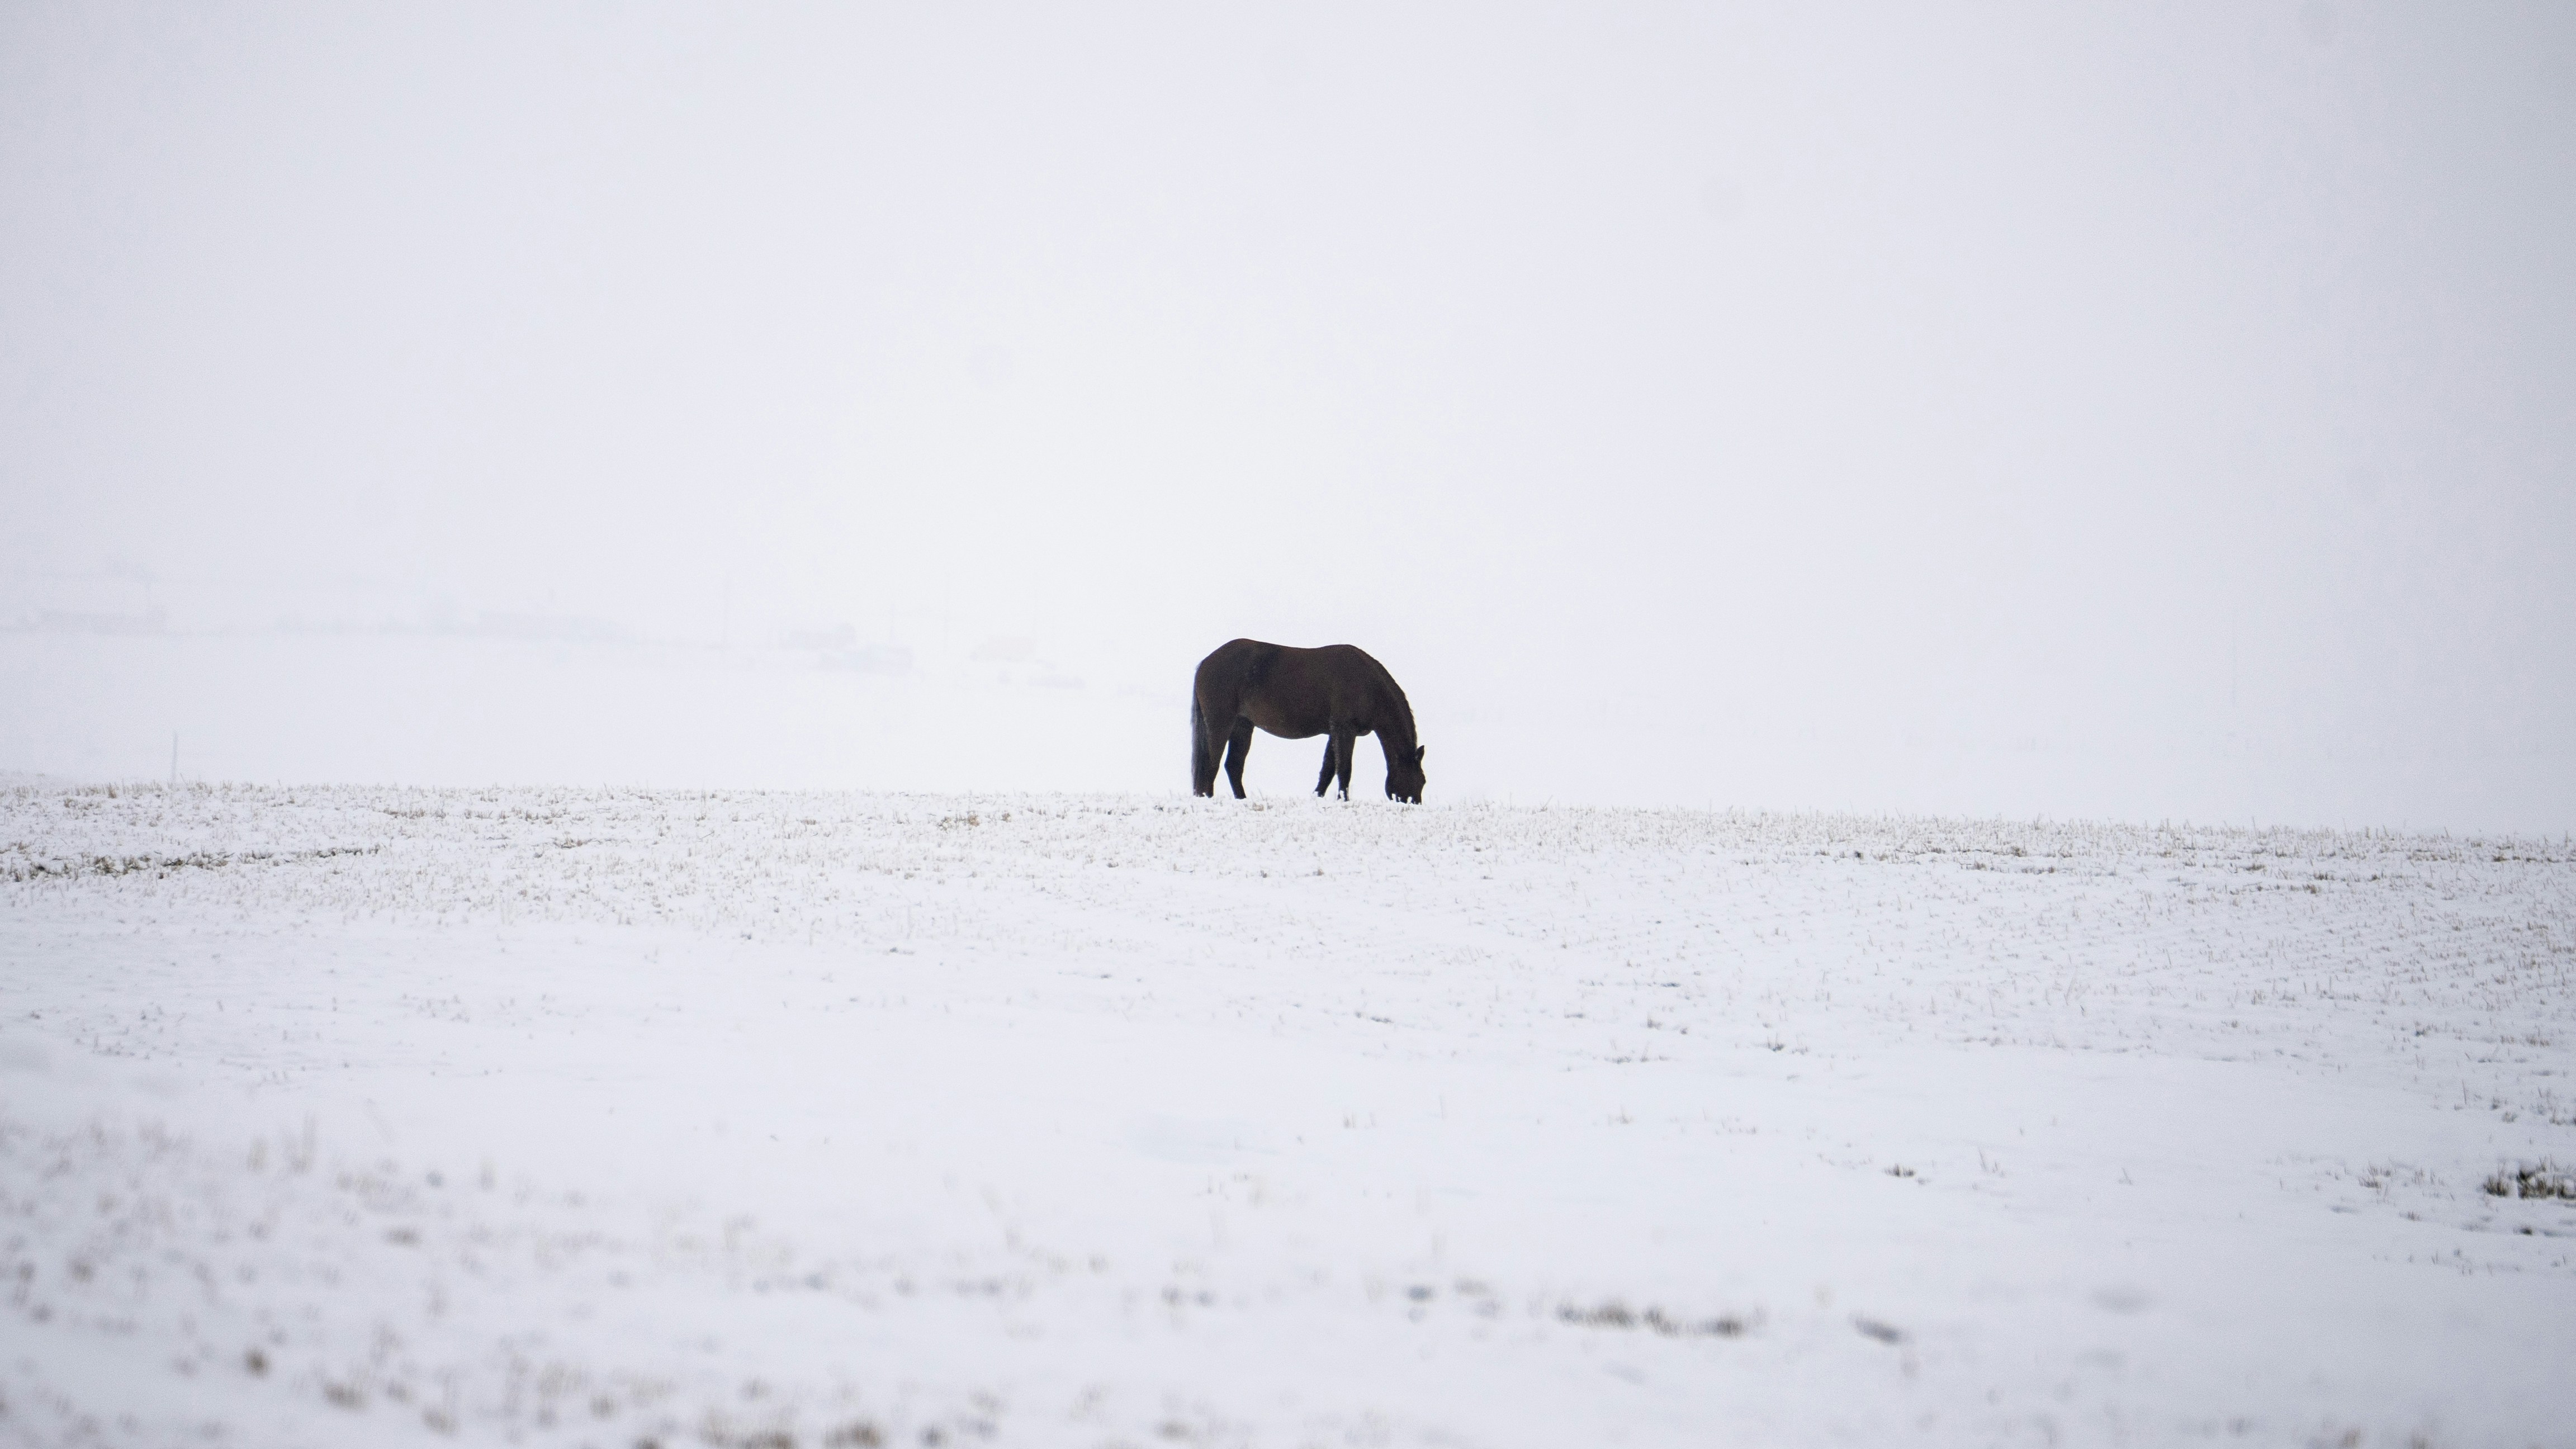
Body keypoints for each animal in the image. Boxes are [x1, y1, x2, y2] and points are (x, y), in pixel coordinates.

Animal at [1191, 639, 1426, 802]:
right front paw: (1344, 801)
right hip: (1221, 724)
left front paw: (1318, 798)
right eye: (1420, 780)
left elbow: (1328, 770)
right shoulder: (1345, 729)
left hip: (1243, 726)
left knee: (1233, 765)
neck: (1368, 685)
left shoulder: (1335, 732)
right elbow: (1344, 768)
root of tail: (1205, 663)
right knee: (1212, 762)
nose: (1415, 804)